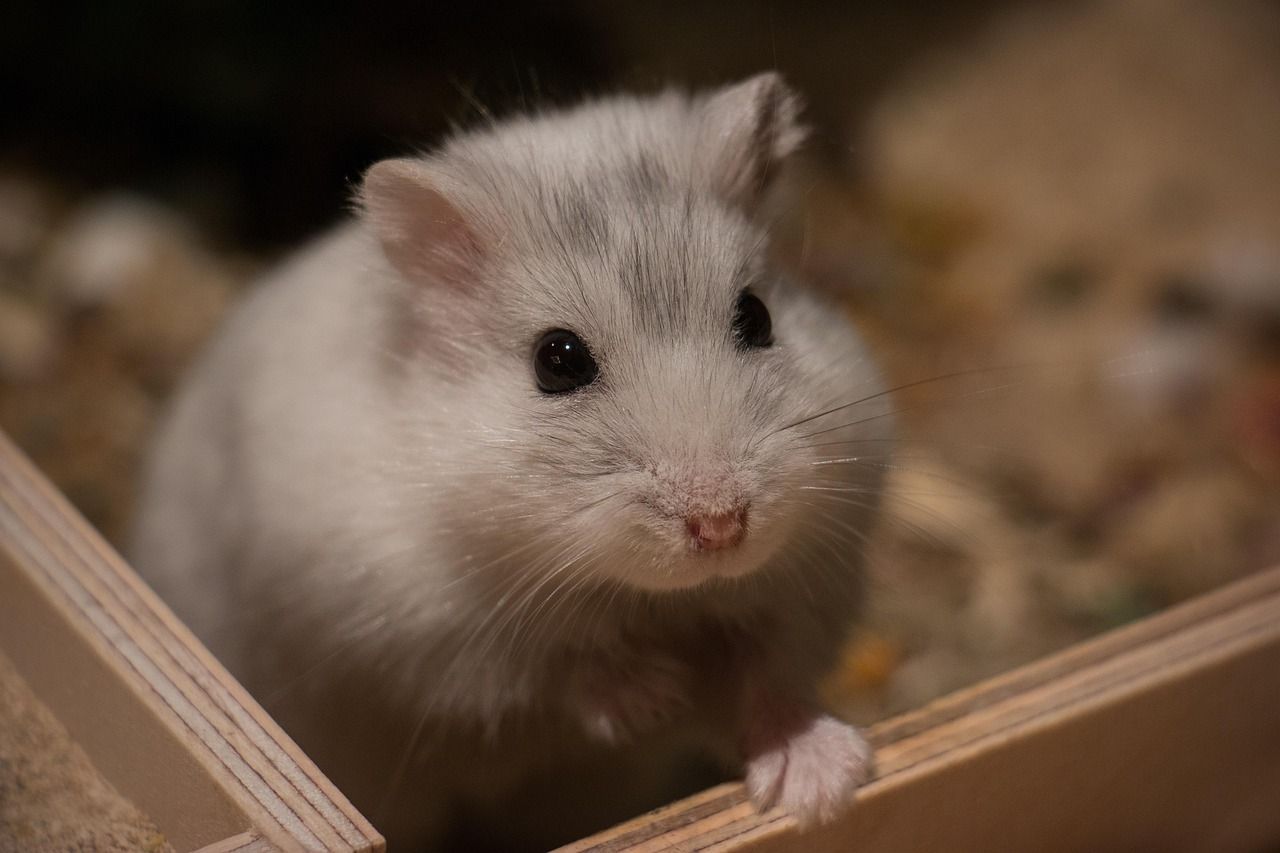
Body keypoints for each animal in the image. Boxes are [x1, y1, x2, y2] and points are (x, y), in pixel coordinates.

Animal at [131, 73, 893, 850]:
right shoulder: (430, 637)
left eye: (757, 316)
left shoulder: (802, 588)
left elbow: (767, 678)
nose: (721, 527)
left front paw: (822, 788)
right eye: (558, 360)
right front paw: (653, 693)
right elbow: (555, 667)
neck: (650, 596)